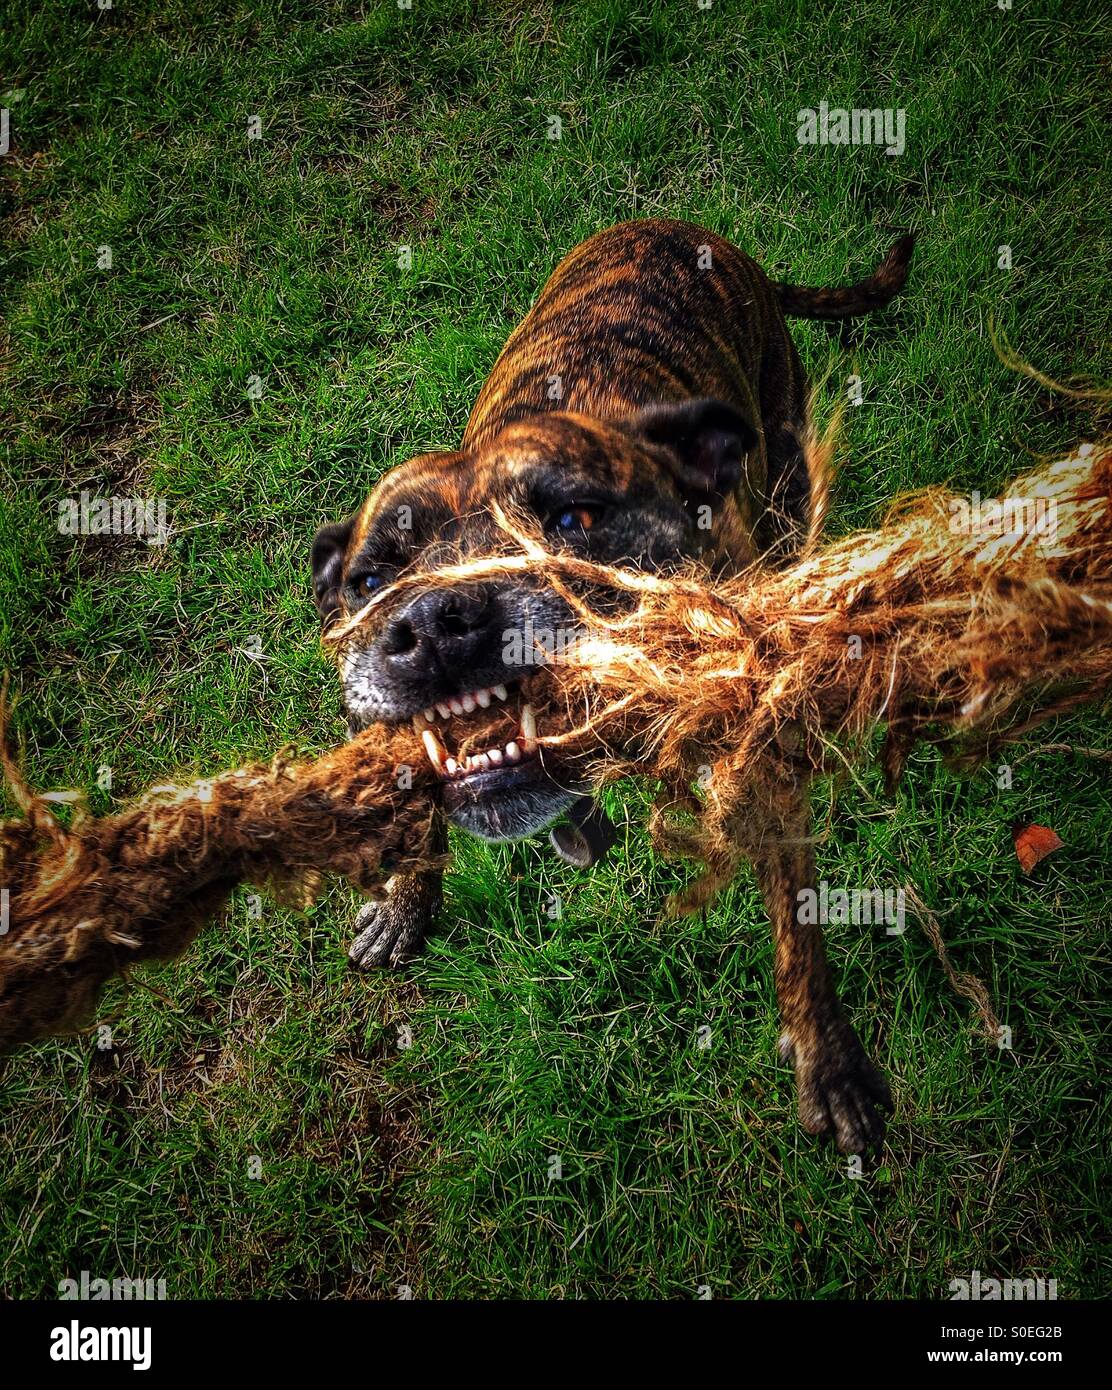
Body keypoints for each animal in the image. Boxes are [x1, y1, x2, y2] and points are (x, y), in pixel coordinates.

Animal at [309, 216, 911, 1150]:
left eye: (574, 519)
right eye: (372, 581)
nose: (436, 622)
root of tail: (699, 234)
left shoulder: (759, 760)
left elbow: (798, 926)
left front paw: (830, 1063)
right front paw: (407, 903)